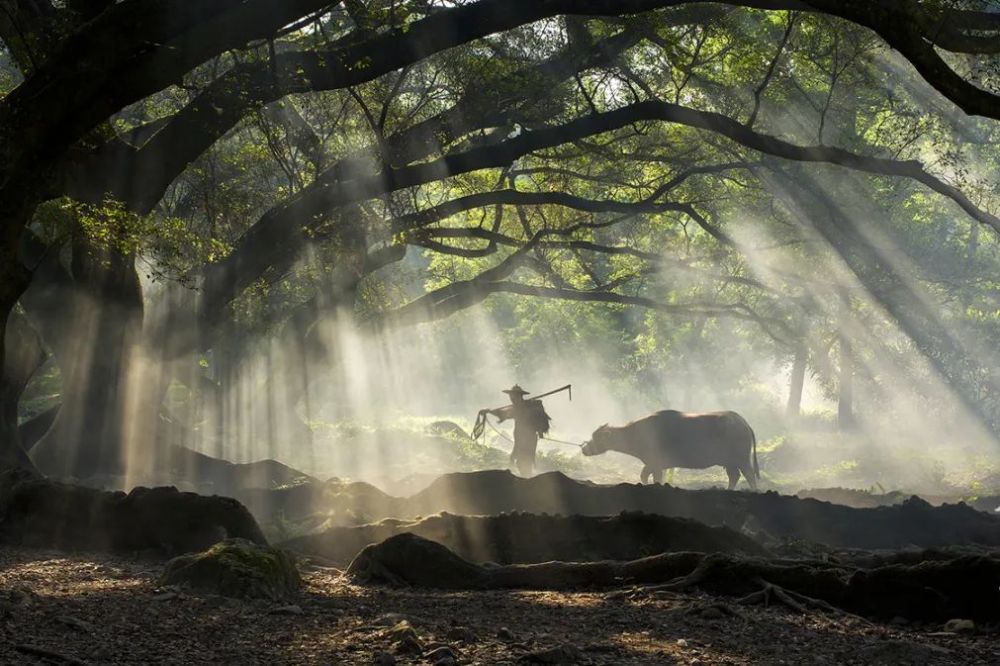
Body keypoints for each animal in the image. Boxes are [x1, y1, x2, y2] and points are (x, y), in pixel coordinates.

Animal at [580, 410, 756, 488]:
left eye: (597, 437)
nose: (584, 449)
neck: (637, 433)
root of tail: (743, 422)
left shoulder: (655, 463)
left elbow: (648, 476)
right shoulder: (655, 465)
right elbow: (647, 475)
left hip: (742, 458)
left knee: (749, 475)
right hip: (730, 462)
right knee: (734, 475)